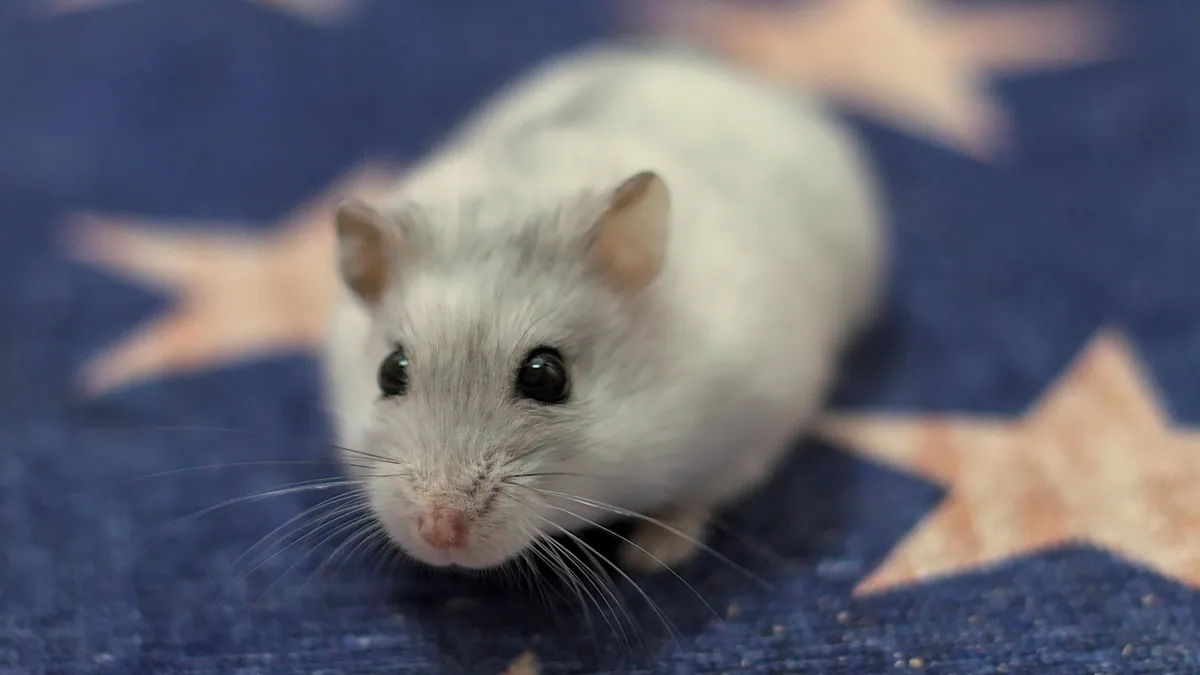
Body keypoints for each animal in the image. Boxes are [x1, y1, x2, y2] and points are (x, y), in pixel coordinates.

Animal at [320, 42, 886, 573]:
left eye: (547, 376)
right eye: (389, 372)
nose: (439, 534)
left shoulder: (760, 421)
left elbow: (694, 500)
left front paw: (651, 557)